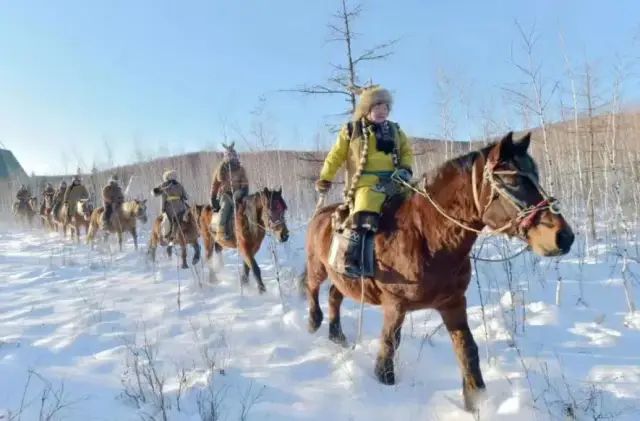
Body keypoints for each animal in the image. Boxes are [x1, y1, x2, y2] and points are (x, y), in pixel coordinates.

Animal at [304, 132, 576, 410]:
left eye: (536, 176)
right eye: (512, 180)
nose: (563, 237)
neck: (426, 236)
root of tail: (321, 212)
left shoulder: (453, 303)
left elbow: (467, 350)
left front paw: (476, 400)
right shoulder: (395, 304)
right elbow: (388, 348)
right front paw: (385, 382)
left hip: (342, 279)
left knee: (334, 296)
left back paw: (337, 336)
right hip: (318, 266)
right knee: (312, 288)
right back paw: (314, 322)